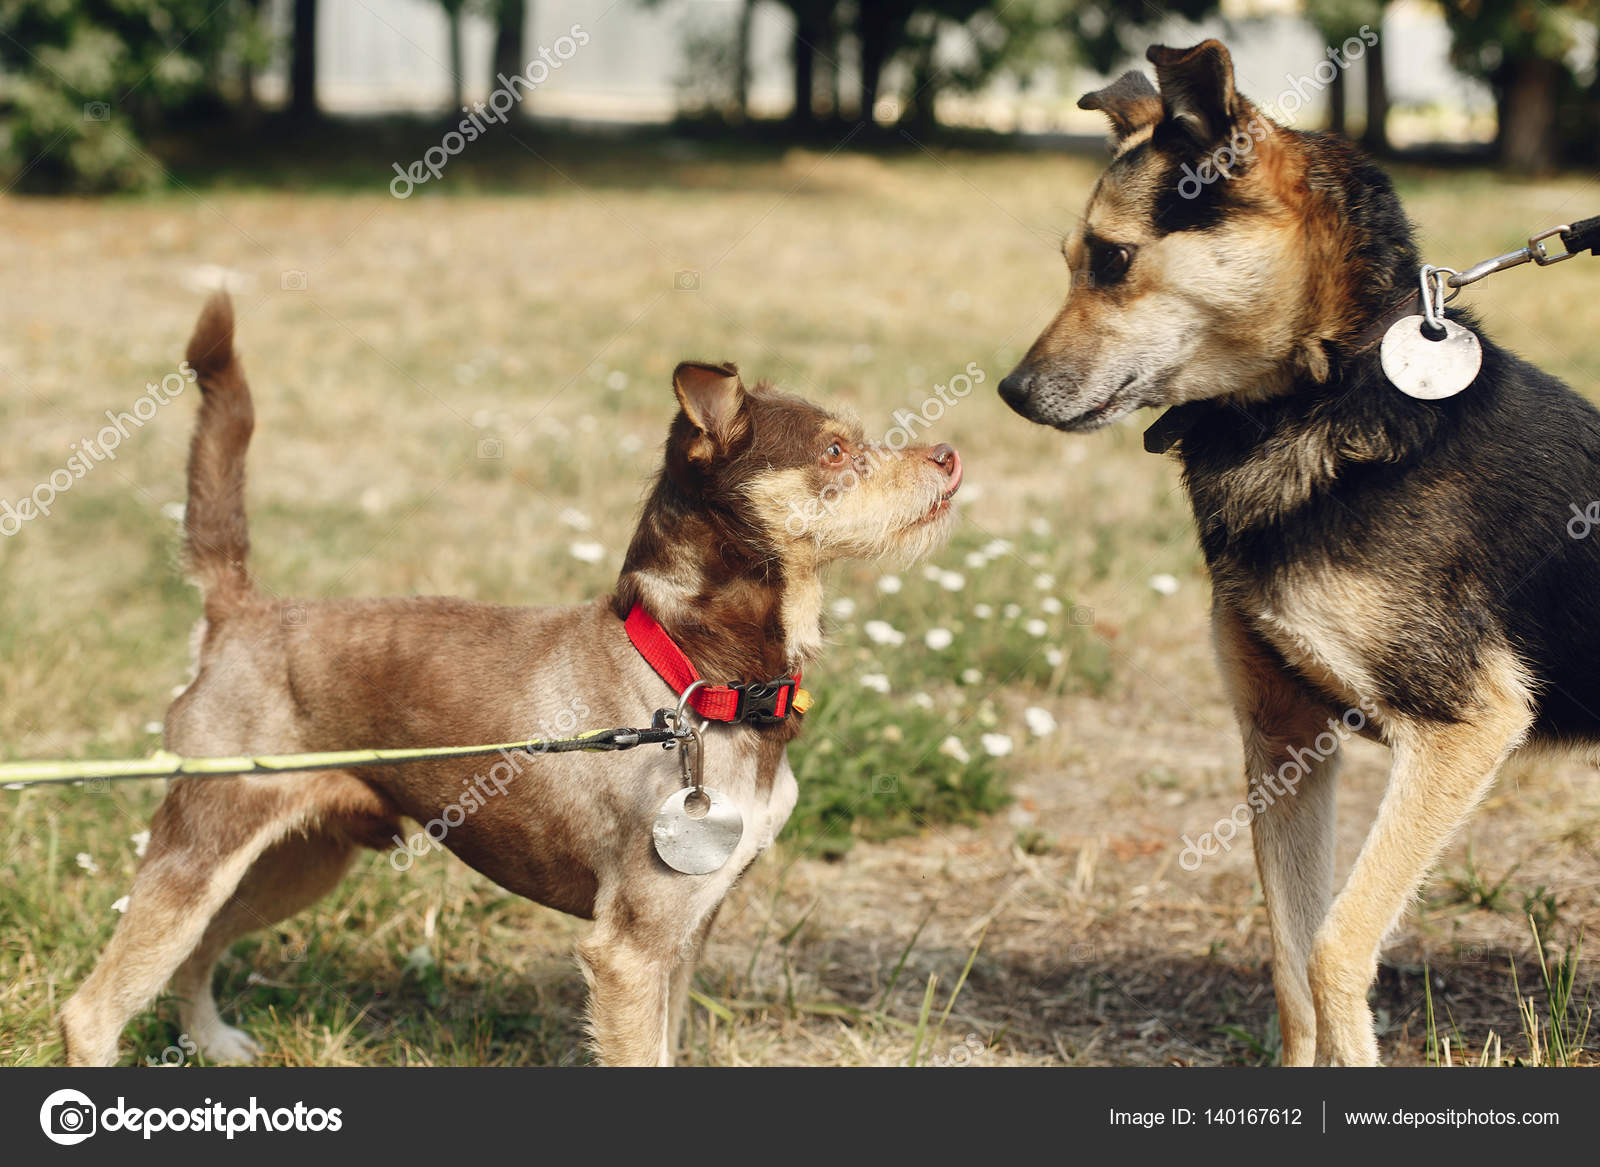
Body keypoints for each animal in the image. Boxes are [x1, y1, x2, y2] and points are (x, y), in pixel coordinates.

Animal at [59, 292, 960, 1062]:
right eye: (836, 451)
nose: (950, 453)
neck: (702, 677)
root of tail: (238, 608)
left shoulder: (686, 932)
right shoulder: (631, 947)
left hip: (299, 857)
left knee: (198, 951)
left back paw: (211, 1042)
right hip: (201, 848)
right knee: (93, 1008)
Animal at [998, 41, 1600, 1062]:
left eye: (1113, 260)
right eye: (1072, 262)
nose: (1011, 392)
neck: (1322, 393)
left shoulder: (1465, 724)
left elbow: (1334, 946)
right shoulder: (1284, 735)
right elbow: (1288, 961)